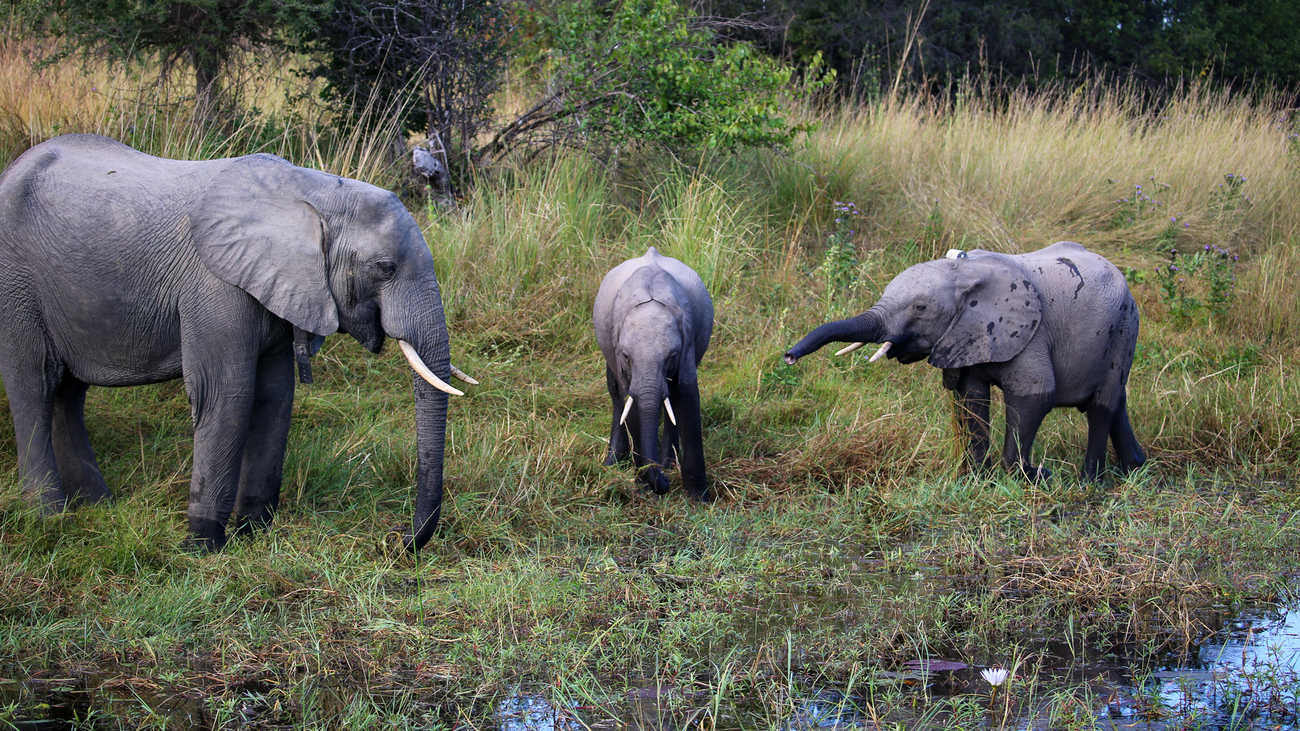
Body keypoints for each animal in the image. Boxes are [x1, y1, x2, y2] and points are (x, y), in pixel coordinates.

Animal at [0, 133, 475, 548]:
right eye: (384, 267)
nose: (398, 541)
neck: (314, 192)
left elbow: (275, 394)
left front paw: (253, 533)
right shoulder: (215, 286)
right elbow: (226, 393)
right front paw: (202, 547)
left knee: (67, 394)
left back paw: (96, 508)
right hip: (16, 285)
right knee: (34, 387)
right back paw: (49, 521)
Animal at [595, 247, 717, 496]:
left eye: (671, 357)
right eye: (626, 356)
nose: (666, 482)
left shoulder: (687, 341)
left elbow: (688, 397)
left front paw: (698, 498)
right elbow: (630, 404)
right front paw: (644, 485)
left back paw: (668, 463)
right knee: (616, 396)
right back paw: (613, 463)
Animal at [780, 240, 1138, 478]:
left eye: (920, 308)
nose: (788, 357)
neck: (964, 271)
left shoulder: (1032, 334)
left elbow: (1035, 396)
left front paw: (1029, 476)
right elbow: (971, 398)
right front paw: (979, 478)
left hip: (1124, 328)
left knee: (1101, 407)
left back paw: (1090, 480)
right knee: (1117, 402)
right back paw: (1134, 468)